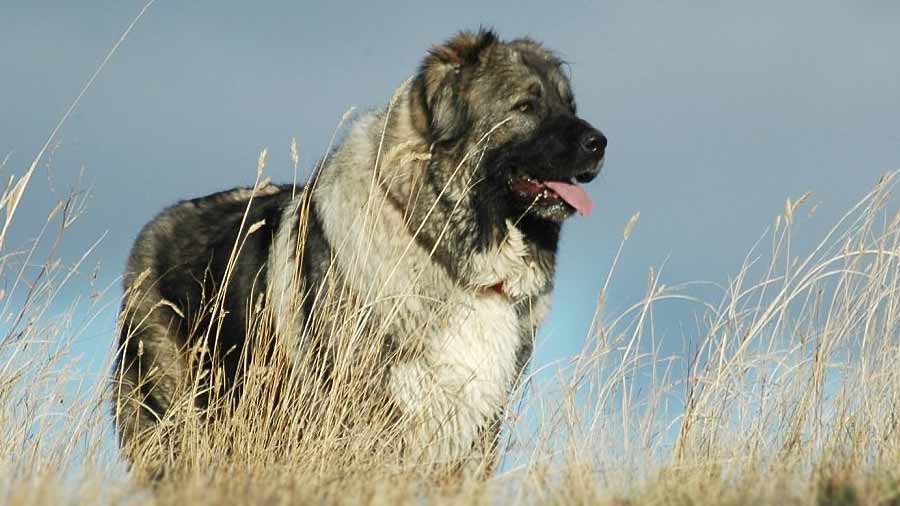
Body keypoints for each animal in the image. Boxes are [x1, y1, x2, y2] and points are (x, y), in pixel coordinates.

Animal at [112, 28, 604, 478]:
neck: (441, 250)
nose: (599, 142)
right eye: (526, 106)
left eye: (570, 106)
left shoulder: (477, 420)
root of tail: (155, 227)